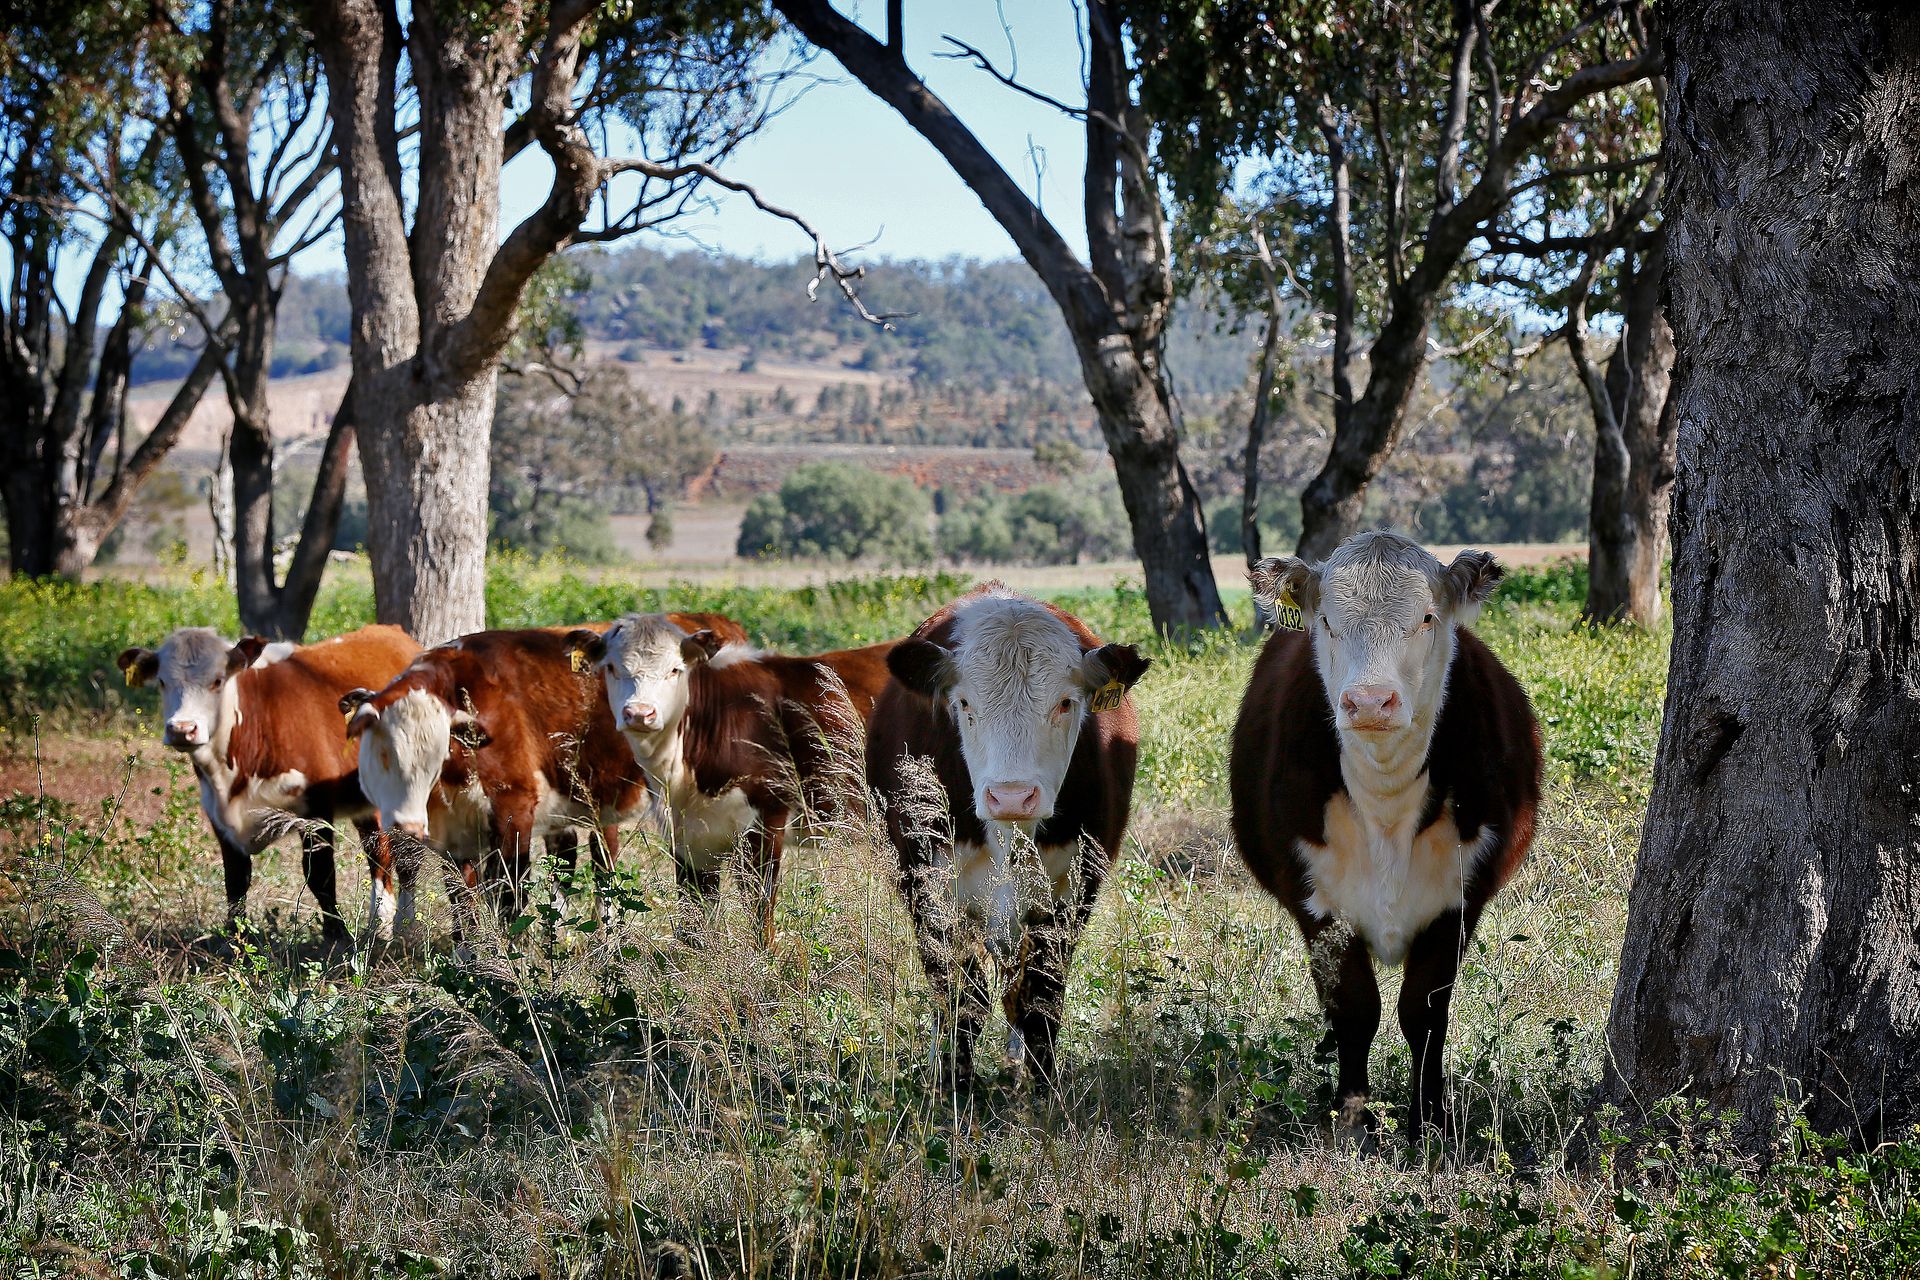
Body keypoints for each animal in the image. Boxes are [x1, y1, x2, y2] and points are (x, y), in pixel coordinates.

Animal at [115, 625, 419, 943]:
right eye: (162, 682)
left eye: (217, 681)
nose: (182, 729)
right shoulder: (218, 813)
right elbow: (236, 880)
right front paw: (235, 939)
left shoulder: (316, 809)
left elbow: (320, 875)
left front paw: (336, 936)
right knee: (380, 855)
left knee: (402, 857)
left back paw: (398, 926)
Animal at [340, 615, 746, 936]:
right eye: (383, 753)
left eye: (438, 754)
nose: (406, 825)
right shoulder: (456, 833)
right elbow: (463, 907)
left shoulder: (515, 811)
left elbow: (510, 902)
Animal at [564, 614, 896, 942]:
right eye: (612, 667)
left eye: (675, 669)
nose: (640, 713)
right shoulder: (688, 839)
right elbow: (694, 925)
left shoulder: (765, 822)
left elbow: (761, 916)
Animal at [866, 586, 1150, 1091]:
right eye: (963, 705)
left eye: (1065, 703)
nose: (1012, 796)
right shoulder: (929, 885)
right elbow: (960, 993)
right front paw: (953, 1085)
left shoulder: (1071, 890)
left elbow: (1040, 996)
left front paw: (1042, 1089)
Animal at [1231, 531, 1542, 1138]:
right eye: (1327, 621)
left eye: (1426, 616)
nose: (1370, 702)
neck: (1387, 797)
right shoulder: (1318, 904)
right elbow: (1355, 1009)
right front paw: (1352, 1119)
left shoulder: (1455, 903)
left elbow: (1423, 1013)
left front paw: (1428, 1121)